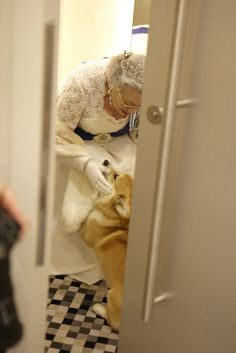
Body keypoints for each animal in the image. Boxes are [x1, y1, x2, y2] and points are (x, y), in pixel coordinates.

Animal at [80, 164, 133, 328]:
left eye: (116, 177)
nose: (105, 161)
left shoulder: (85, 232)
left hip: (111, 296)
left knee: (111, 320)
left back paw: (98, 308)